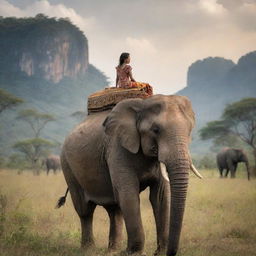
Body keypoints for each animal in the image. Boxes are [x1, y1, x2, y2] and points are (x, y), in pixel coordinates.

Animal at [57, 95, 201, 256]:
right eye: (155, 130)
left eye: (190, 131)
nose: (170, 252)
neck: (141, 105)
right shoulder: (117, 147)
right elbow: (129, 194)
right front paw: (134, 253)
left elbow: (160, 197)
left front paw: (159, 253)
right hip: (67, 165)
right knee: (85, 210)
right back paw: (88, 249)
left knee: (114, 209)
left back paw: (112, 250)